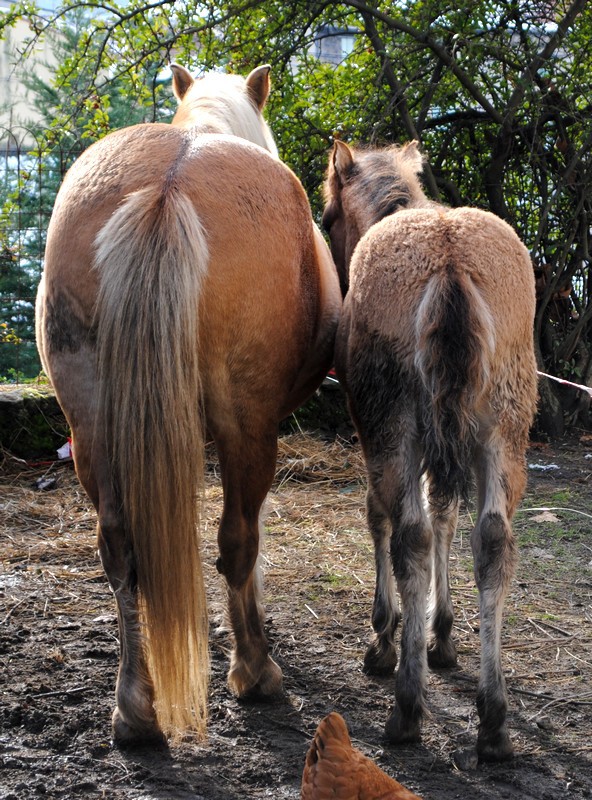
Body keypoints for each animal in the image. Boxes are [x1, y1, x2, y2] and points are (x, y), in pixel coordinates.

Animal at [37, 65, 340, 748]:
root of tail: (167, 188)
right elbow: (245, 540)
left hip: (94, 430)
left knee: (120, 549)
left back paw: (135, 711)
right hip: (246, 427)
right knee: (237, 536)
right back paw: (255, 672)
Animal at [322, 141, 540, 760]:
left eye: (326, 216)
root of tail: (450, 262)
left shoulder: (376, 429)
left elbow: (381, 518)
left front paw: (386, 636)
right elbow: (446, 513)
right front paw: (442, 634)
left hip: (394, 424)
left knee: (410, 536)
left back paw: (406, 706)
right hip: (504, 428)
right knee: (492, 541)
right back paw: (494, 721)